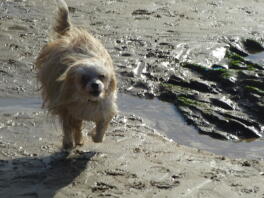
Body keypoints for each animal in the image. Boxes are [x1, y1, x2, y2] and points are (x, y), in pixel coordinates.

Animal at [35, 0, 117, 148]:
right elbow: (69, 127)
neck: (88, 100)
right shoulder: (66, 108)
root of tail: (69, 35)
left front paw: (95, 135)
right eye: (84, 78)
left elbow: (101, 129)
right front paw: (68, 142)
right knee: (75, 126)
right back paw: (77, 140)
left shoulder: (105, 108)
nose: (95, 85)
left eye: (102, 76)